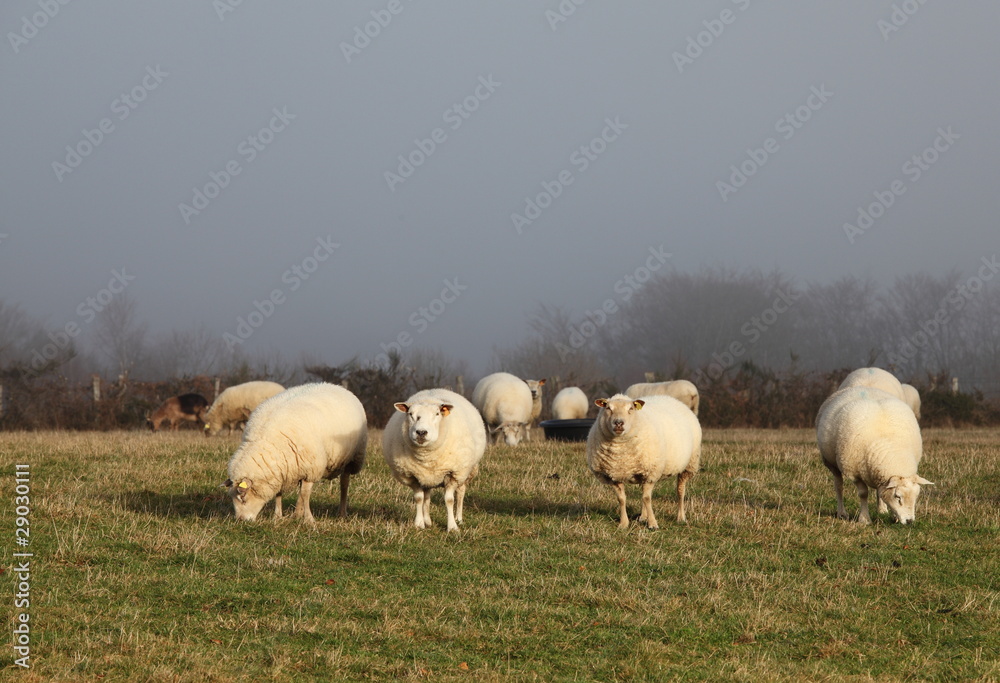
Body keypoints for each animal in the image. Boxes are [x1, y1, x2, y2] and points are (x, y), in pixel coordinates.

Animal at [222, 382, 367, 523]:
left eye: (243, 497)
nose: (240, 520)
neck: (264, 439)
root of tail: (338, 387)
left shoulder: (311, 469)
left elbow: (305, 495)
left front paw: (309, 520)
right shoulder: (282, 471)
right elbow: (280, 494)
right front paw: (278, 516)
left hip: (353, 458)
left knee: (344, 484)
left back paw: (341, 513)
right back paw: (297, 514)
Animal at [382, 388, 486, 532]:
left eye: (437, 414)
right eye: (410, 414)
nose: (421, 432)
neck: (426, 456)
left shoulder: (452, 473)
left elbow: (449, 500)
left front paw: (452, 527)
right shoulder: (413, 475)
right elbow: (419, 499)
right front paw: (419, 524)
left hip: (466, 472)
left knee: (460, 494)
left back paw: (459, 518)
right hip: (427, 477)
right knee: (427, 497)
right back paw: (428, 521)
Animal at [586, 393, 702, 530]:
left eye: (630, 408)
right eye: (608, 408)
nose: (618, 423)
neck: (620, 452)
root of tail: (671, 398)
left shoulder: (650, 473)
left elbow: (647, 498)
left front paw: (653, 524)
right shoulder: (614, 475)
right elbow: (622, 499)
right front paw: (624, 523)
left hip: (689, 464)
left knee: (680, 491)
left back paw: (681, 517)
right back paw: (643, 517)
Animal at [816, 386, 933, 525]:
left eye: (916, 496)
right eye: (897, 496)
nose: (909, 521)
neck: (890, 445)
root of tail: (860, 387)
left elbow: (881, 492)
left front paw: (892, 515)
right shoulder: (854, 473)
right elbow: (863, 493)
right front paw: (864, 519)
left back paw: (882, 509)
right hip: (831, 462)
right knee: (839, 485)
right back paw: (841, 513)